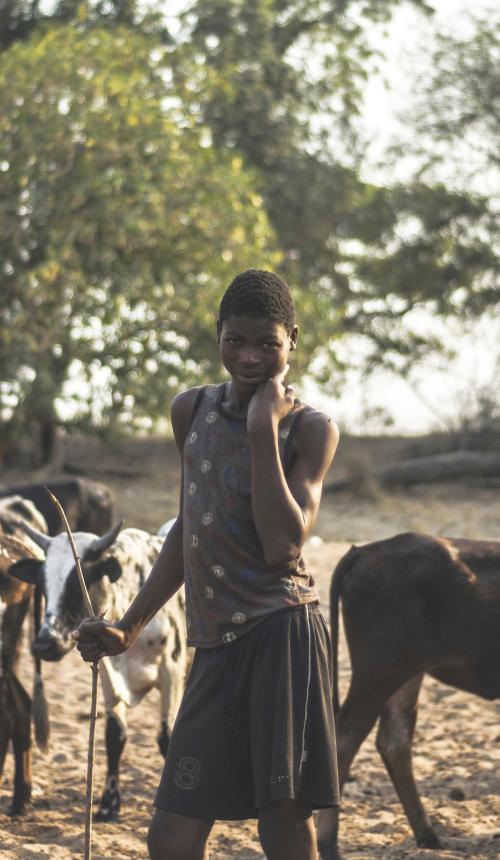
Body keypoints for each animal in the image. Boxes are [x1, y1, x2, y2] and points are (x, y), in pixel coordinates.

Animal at [8, 516, 187, 820]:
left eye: (77, 583)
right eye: (42, 584)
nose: (44, 644)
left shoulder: (171, 672)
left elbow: (167, 738)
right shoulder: (107, 673)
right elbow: (115, 736)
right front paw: (108, 803)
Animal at [318, 532, 500, 860]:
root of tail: (367, 549)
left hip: (407, 674)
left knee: (395, 740)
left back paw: (428, 836)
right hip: (378, 673)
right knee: (344, 740)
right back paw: (328, 845)